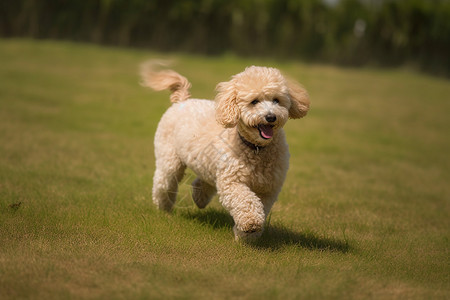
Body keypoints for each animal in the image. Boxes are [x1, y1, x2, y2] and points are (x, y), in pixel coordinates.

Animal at [141, 63, 310, 241]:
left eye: (276, 100)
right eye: (254, 101)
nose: (270, 117)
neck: (256, 148)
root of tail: (183, 101)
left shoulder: (268, 188)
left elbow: (261, 207)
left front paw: (246, 235)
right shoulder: (233, 182)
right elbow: (246, 201)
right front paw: (250, 223)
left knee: (202, 181)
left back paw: (199, 198)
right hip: (170, 159)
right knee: (164, 182)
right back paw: (163, 207)